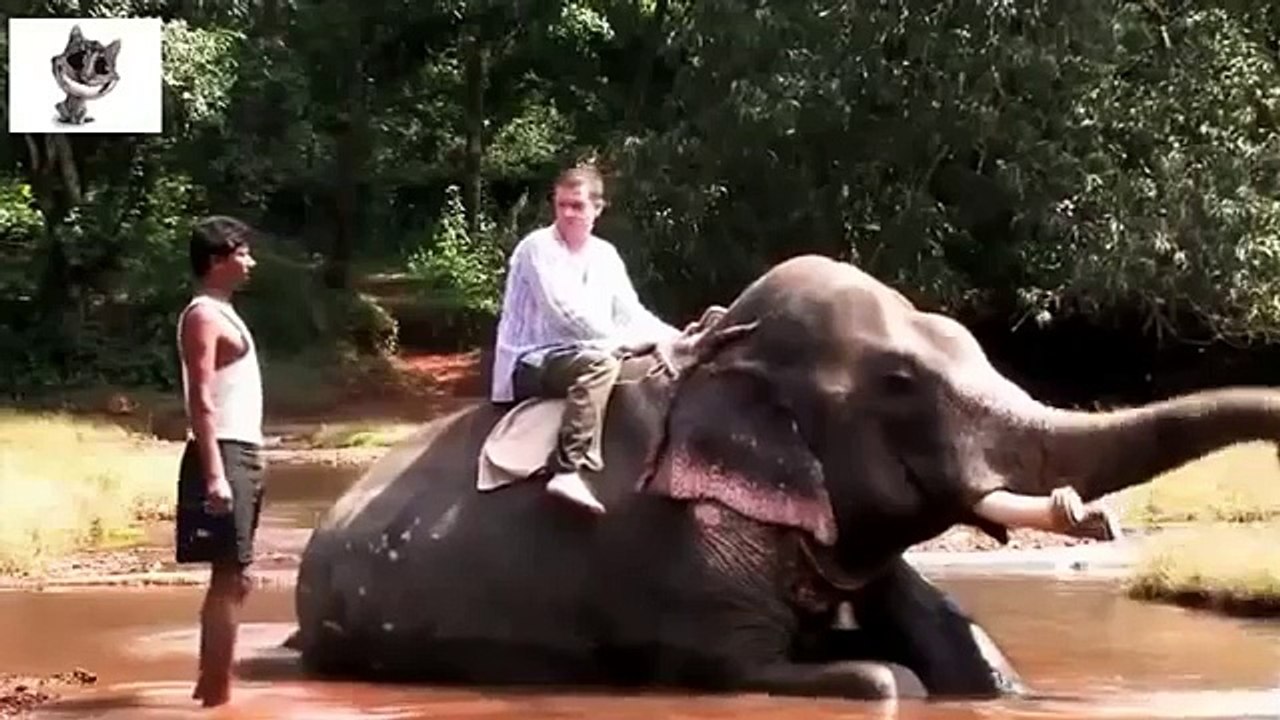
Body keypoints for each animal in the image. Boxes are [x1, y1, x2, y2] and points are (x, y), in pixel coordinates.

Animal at [290, 254, 1280, 700]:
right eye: (901, 385)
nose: (1099, 517)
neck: (722, 358)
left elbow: (969, 656)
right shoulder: (672, 555)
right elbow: (800, 671)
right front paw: (879, 676)